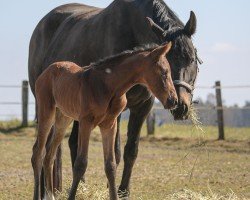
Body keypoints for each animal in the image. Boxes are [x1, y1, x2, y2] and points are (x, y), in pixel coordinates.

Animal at [31, 42, 178, 200]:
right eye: (164, 72)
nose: (173, 101)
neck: (108, 86)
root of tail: (46, 72)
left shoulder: (109, 124)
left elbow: (110, 165)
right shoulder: (86, 122)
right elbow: (81, 163)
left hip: (63, 119)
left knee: (49, 156)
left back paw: (50, 196)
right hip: (46, 113)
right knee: (38, 153)